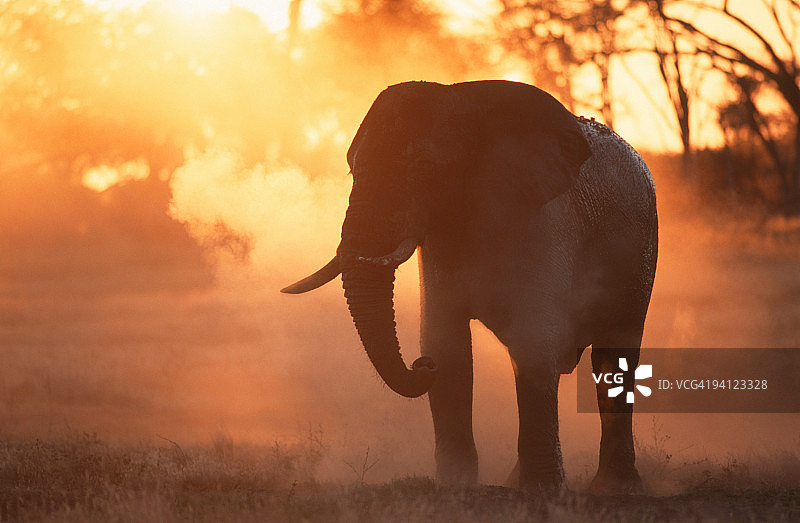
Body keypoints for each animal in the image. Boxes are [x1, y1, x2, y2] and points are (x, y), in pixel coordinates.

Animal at [282, 80, 657, 493]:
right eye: (352, 169)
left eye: (423, 166)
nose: (420, 365)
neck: (464, 101)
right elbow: (447, 346)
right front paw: (456, 485)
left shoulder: (546, 223)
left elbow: (534, 343)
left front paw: (540, 491)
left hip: (640, 255)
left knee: (614, 356)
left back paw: (616, 488)